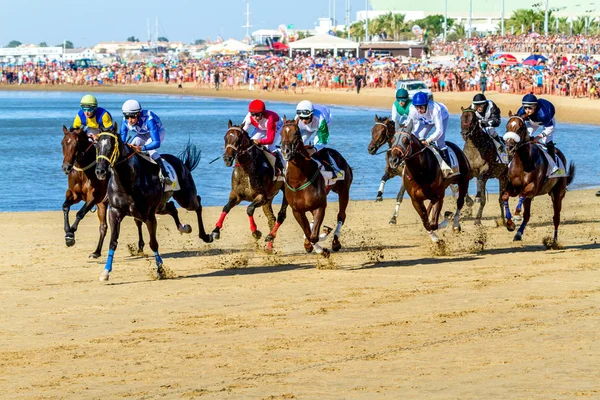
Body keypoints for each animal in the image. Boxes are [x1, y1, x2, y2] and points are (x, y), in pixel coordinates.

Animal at [61, 125, 109, 258]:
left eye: (76, 143)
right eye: (62, 143)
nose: (66, 167)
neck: (83, 171)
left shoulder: (93, 196)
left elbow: (80, 213)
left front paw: (70, 234)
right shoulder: (74, 194)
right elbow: (65, 206)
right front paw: (67, 231)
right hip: (103, 204)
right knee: (103, 227)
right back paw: (96, 252)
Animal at [95, 123, 212, 280]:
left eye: (111, 145)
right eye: (97, 145)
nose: (100, 171)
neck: (129, 181)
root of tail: (183, 164)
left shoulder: (149, 215)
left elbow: (153, 244)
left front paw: (160, 270)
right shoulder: (115, 212)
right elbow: (113, 242)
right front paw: (106, 272)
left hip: (185, 198)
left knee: (197, 203)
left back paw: (206, 236)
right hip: (161, 206)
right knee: (172, 208)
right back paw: (183, 227)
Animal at [210, 120, 288, 252]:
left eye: (238, 139)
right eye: (225, 137)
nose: (227, 158)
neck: (246, 170)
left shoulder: (261, 197)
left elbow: (249, 209)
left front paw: (255, 232)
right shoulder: (236, 195)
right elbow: (226, 208)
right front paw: (216, 231)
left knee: (280, 216)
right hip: (270, 198)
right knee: (271, 218)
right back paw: (269, 245)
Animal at [280, 117, 354, 258]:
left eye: (296, 133)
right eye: (281, 133)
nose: (286, 151)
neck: (299, 180)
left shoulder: (320, 206)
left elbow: (314, 236)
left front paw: (322, 249)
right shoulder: (297, 211)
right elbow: (309, 234)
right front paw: (312, 245)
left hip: (343, 190)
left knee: (341, 216)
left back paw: (335, 241)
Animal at [500, 113, 576, 244]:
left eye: (520, 128)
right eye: (507, 127)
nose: (509, 147)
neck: (524, 162)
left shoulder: (532, 188)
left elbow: (522, 194)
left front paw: (516, 215)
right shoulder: (513, 187)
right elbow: (505, 196)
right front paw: (510, 224)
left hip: (557, 194)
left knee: (556, 217)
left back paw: (554, 241)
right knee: (527, 216)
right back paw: (518, 234)